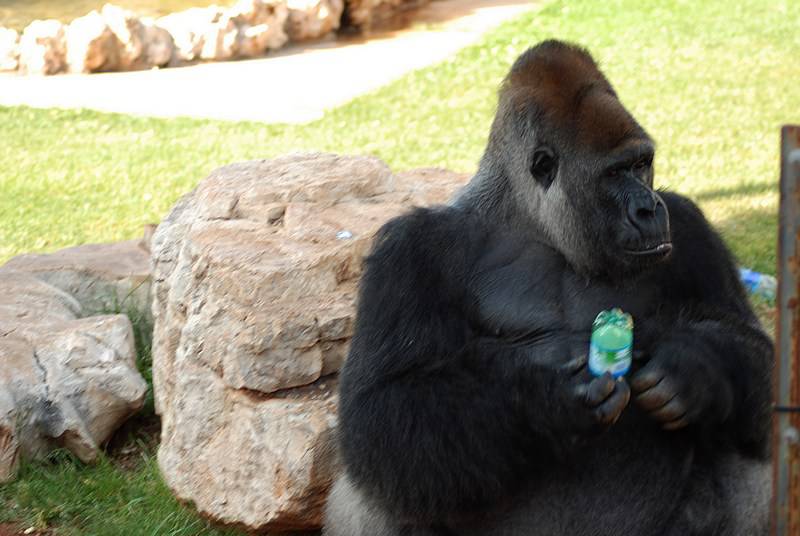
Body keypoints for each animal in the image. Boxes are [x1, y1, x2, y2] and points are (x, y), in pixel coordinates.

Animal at [322, 40, 772, 536]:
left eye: (642, 164)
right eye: (615, 173)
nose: (649, 208)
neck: (536, 226)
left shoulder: (689, 227)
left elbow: (753, 351)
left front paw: (693, 368)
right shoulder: (410, 251)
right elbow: (382, 406)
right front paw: (547, 405)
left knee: (745, 449)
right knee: (379, 488)